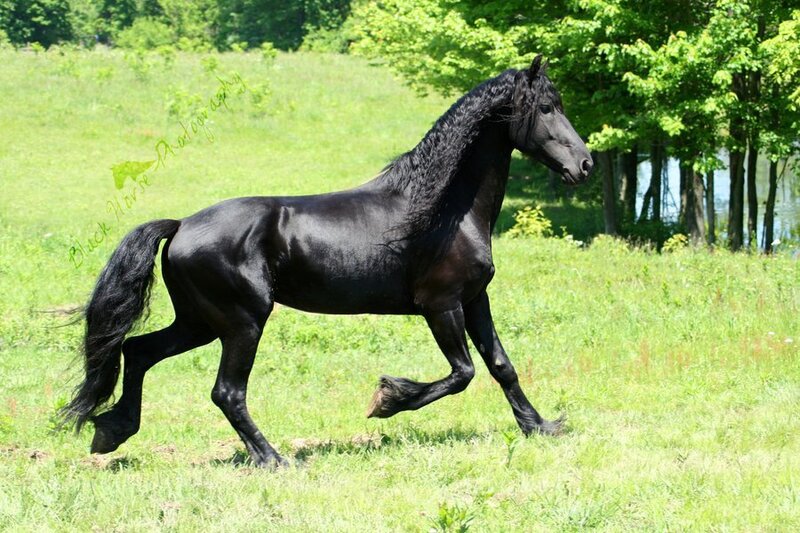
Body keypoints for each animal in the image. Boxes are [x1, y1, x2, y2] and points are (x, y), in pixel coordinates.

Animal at [61, 56, 592, 467]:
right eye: (547, 108)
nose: (584, 165)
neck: (443, 210)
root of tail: (181, 225)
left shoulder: (474, 298)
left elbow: (501, 366)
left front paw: (541, 426)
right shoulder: (440, 306)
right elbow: (463, 373)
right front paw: (385, 400)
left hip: (199, 322)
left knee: (138, 352)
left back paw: (112, 431)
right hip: (241, 323)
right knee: (226, 391)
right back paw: (273, 459)